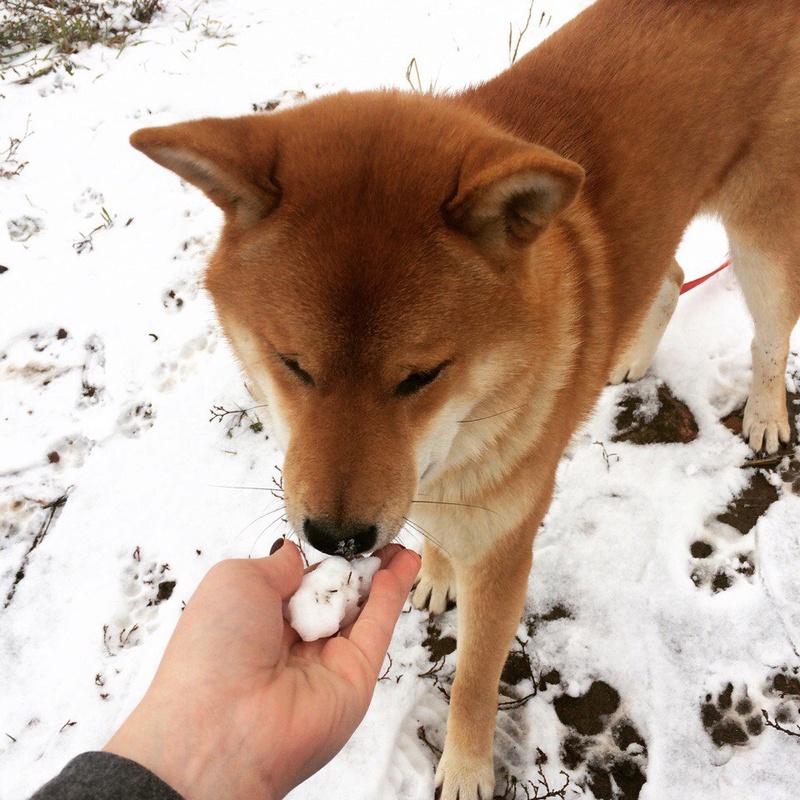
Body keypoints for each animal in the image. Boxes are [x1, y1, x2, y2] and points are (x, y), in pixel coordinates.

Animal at [131, 0, 800, 796]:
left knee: (770, 337)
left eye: (420, 375)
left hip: (763, 241)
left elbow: (477, 678)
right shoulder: (424, 489)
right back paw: (632, 353)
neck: (460, 435)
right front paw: (435, 574)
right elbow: (433, 535)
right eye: (292, 364)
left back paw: (766, 414)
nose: (338, 539)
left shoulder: (506, 552)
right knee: (666, 275)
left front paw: (465, 767)